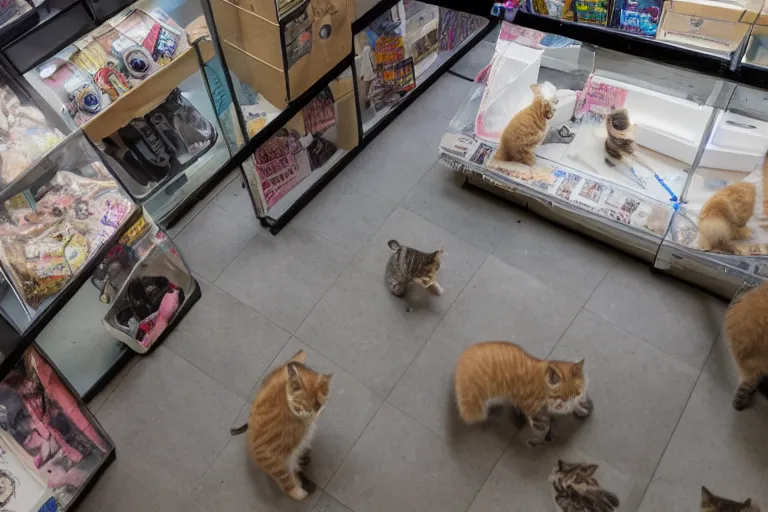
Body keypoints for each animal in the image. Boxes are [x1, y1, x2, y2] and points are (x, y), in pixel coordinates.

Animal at [231, 348, 332, 500]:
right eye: (306, 407)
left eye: (319, 406)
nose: (314, 414)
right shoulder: (268, 453)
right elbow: (286, 481)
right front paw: (299, 492)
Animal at [452, 342, 592, 446]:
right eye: (562, 397)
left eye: (577, 393)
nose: (569, 403)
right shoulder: (537, 415)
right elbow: (543, 428)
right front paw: (538, 440)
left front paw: (581, 409)